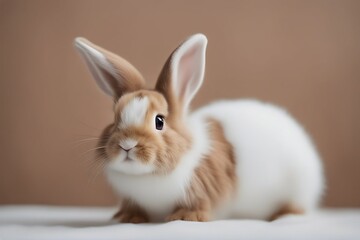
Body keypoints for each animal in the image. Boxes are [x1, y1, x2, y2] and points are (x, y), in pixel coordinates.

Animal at [74, 33, 324, 223]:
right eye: (115, 119)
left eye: (159, 121)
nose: (127, 145)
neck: (146, 177)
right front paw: (127, 218)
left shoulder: (205, 187)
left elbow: (198, 204)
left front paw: (186, 217)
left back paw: (285, 216)